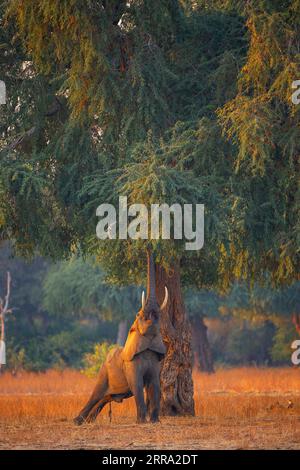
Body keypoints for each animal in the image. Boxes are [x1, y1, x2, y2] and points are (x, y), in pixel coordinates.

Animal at [74, 250, 168, 426]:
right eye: (139, 315)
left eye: (158, 317)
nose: (148, 247)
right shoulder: (131, 363)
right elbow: (137, 385)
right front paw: (141, 422)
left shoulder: (155, 361)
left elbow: (155, 385)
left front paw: (155, 422)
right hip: (103, 372)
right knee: (97, 394)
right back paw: (77, 421)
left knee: (105, 397)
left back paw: (89, 421)